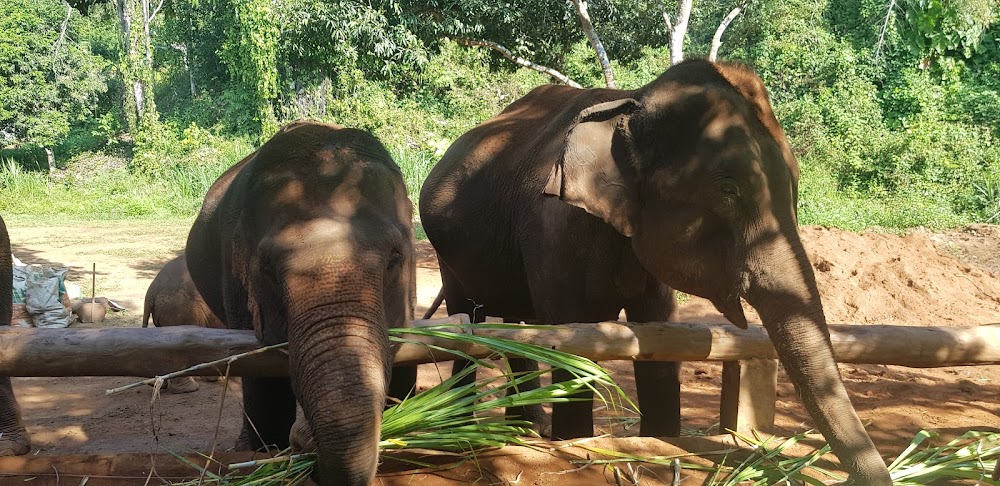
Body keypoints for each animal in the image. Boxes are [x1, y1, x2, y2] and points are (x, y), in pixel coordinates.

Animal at [186, 120, 416, 486]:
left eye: (395, 257)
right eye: (267, 268)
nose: (304, 439)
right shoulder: (235, 284)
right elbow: (264, 387)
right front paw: (271, 452)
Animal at [420, 58, 892, 484]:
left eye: (794, 185)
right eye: (728, 189)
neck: (633, 102)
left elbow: (659, 334)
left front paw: (661, 438)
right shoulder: (554, 230)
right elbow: (570, 342)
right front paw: (574, 440)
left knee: (517, 327)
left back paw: (526, 427)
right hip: (448, 255)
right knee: (471, 320)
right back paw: (462, 427)